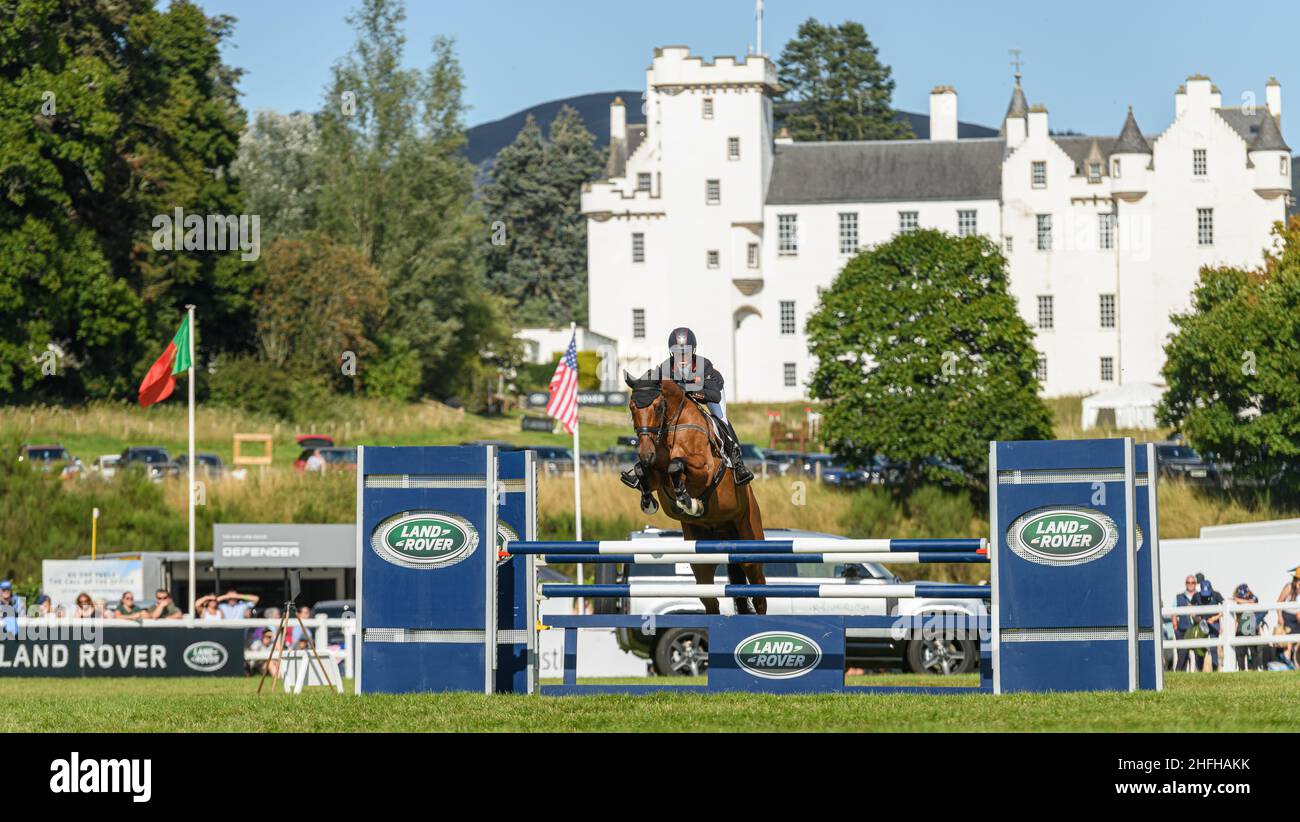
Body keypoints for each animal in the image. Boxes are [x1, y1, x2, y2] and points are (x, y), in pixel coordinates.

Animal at [624, 374, 764, 613]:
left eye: (658, 407)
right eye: (632, 407)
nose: (646, 453)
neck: (672, 428)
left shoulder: (705, 470)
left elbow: (677, 465)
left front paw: (689, 502)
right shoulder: (657, 474)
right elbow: (645, 471)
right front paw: (648, 501)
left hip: (750, 542)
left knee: (759, 595)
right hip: (701, 560)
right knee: (711, 600)